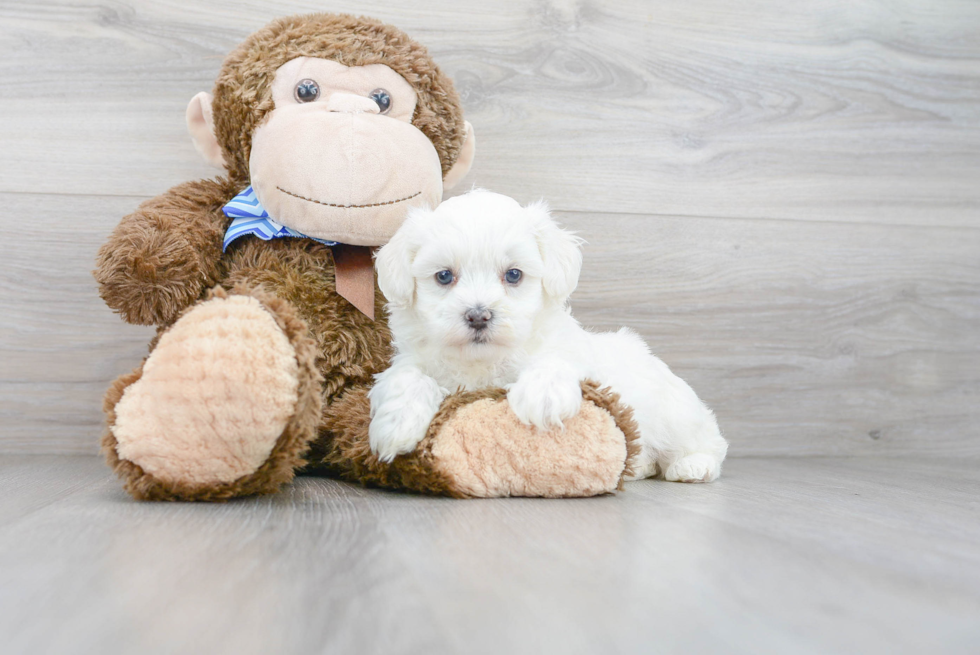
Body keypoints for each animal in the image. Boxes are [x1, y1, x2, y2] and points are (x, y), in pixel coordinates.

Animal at [368, 190, 728, 482]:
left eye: (514, 274)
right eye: (444, 276)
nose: (478, 315)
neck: (483, 361)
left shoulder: (569, 355)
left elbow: (554, 361)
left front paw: (543, 396)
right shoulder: (412, 359)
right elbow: (406, 376)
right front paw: (396, 423)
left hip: (675, 414)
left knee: (707, 441)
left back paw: (693, 466)